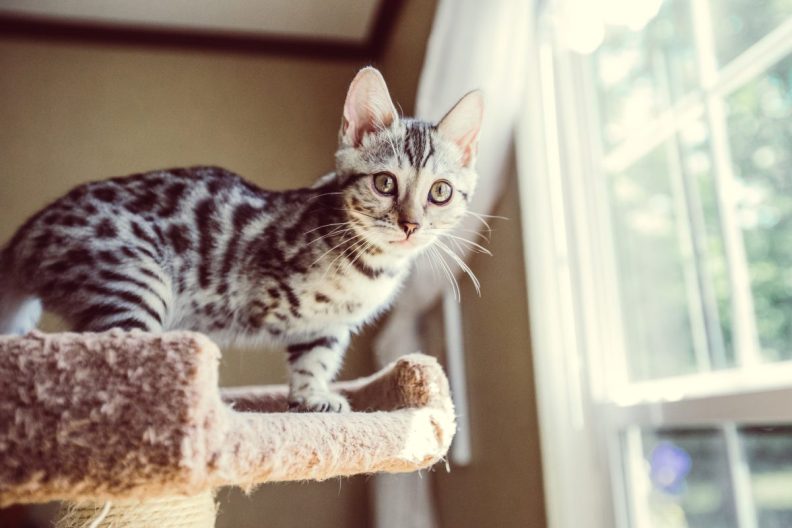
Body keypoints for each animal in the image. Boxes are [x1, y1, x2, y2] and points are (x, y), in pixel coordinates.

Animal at [0, 67, 482, 412]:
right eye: (384, 183)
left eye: (440, 192)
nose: (410, 224)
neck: (372, 264)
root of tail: (31, 229)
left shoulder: (328, 326)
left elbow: (317, 357)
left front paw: (311, 395)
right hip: (135, 280)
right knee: (114, 353)